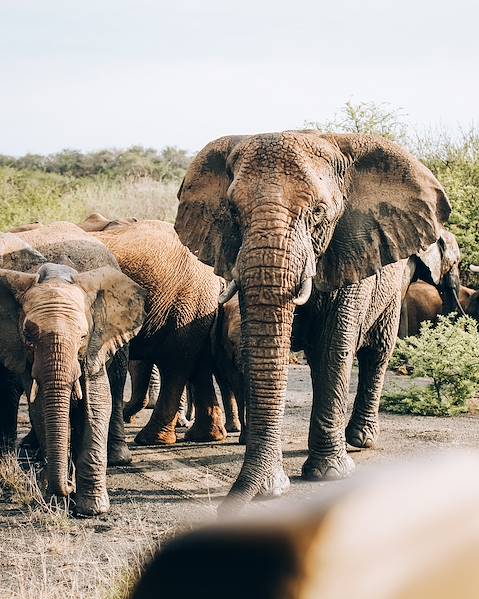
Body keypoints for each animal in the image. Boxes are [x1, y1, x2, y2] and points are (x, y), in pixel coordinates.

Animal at [0, 224, 145, 516]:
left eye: (82, 336)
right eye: (28, 337)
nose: (67, 486)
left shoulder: (95, 342)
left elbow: (97, 405)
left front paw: (92, 509)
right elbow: (40, 408)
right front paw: (58, 498)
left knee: (116, 382)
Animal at [174, 131, 452, 510]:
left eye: (318, 213)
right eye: (232, 212)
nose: (224, 509)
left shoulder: (352, 248)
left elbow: (334, 346)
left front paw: (330, 475)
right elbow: (257, 349)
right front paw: (271, 489)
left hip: (395, 282)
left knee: (375, 351)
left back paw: (359, 441)